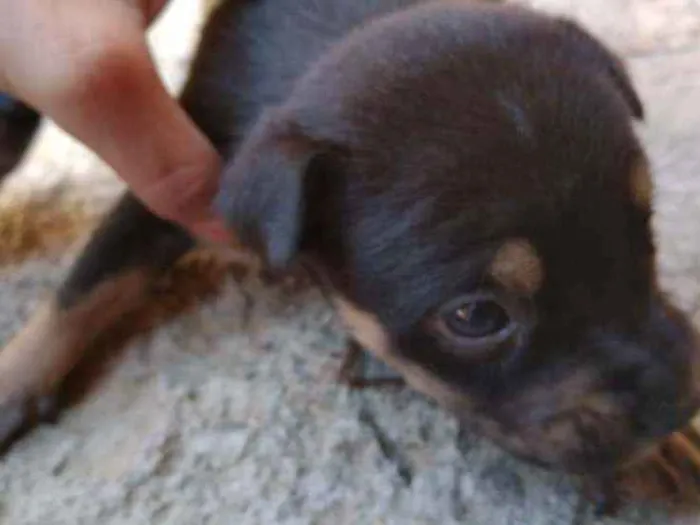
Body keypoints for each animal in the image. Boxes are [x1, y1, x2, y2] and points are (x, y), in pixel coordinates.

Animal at [1, 0, 700, 508]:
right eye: (477, 317)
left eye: (644, 229)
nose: (678, 402)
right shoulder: (175, 182)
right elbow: (90, 281)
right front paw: (14, 380)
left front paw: (667, 448)